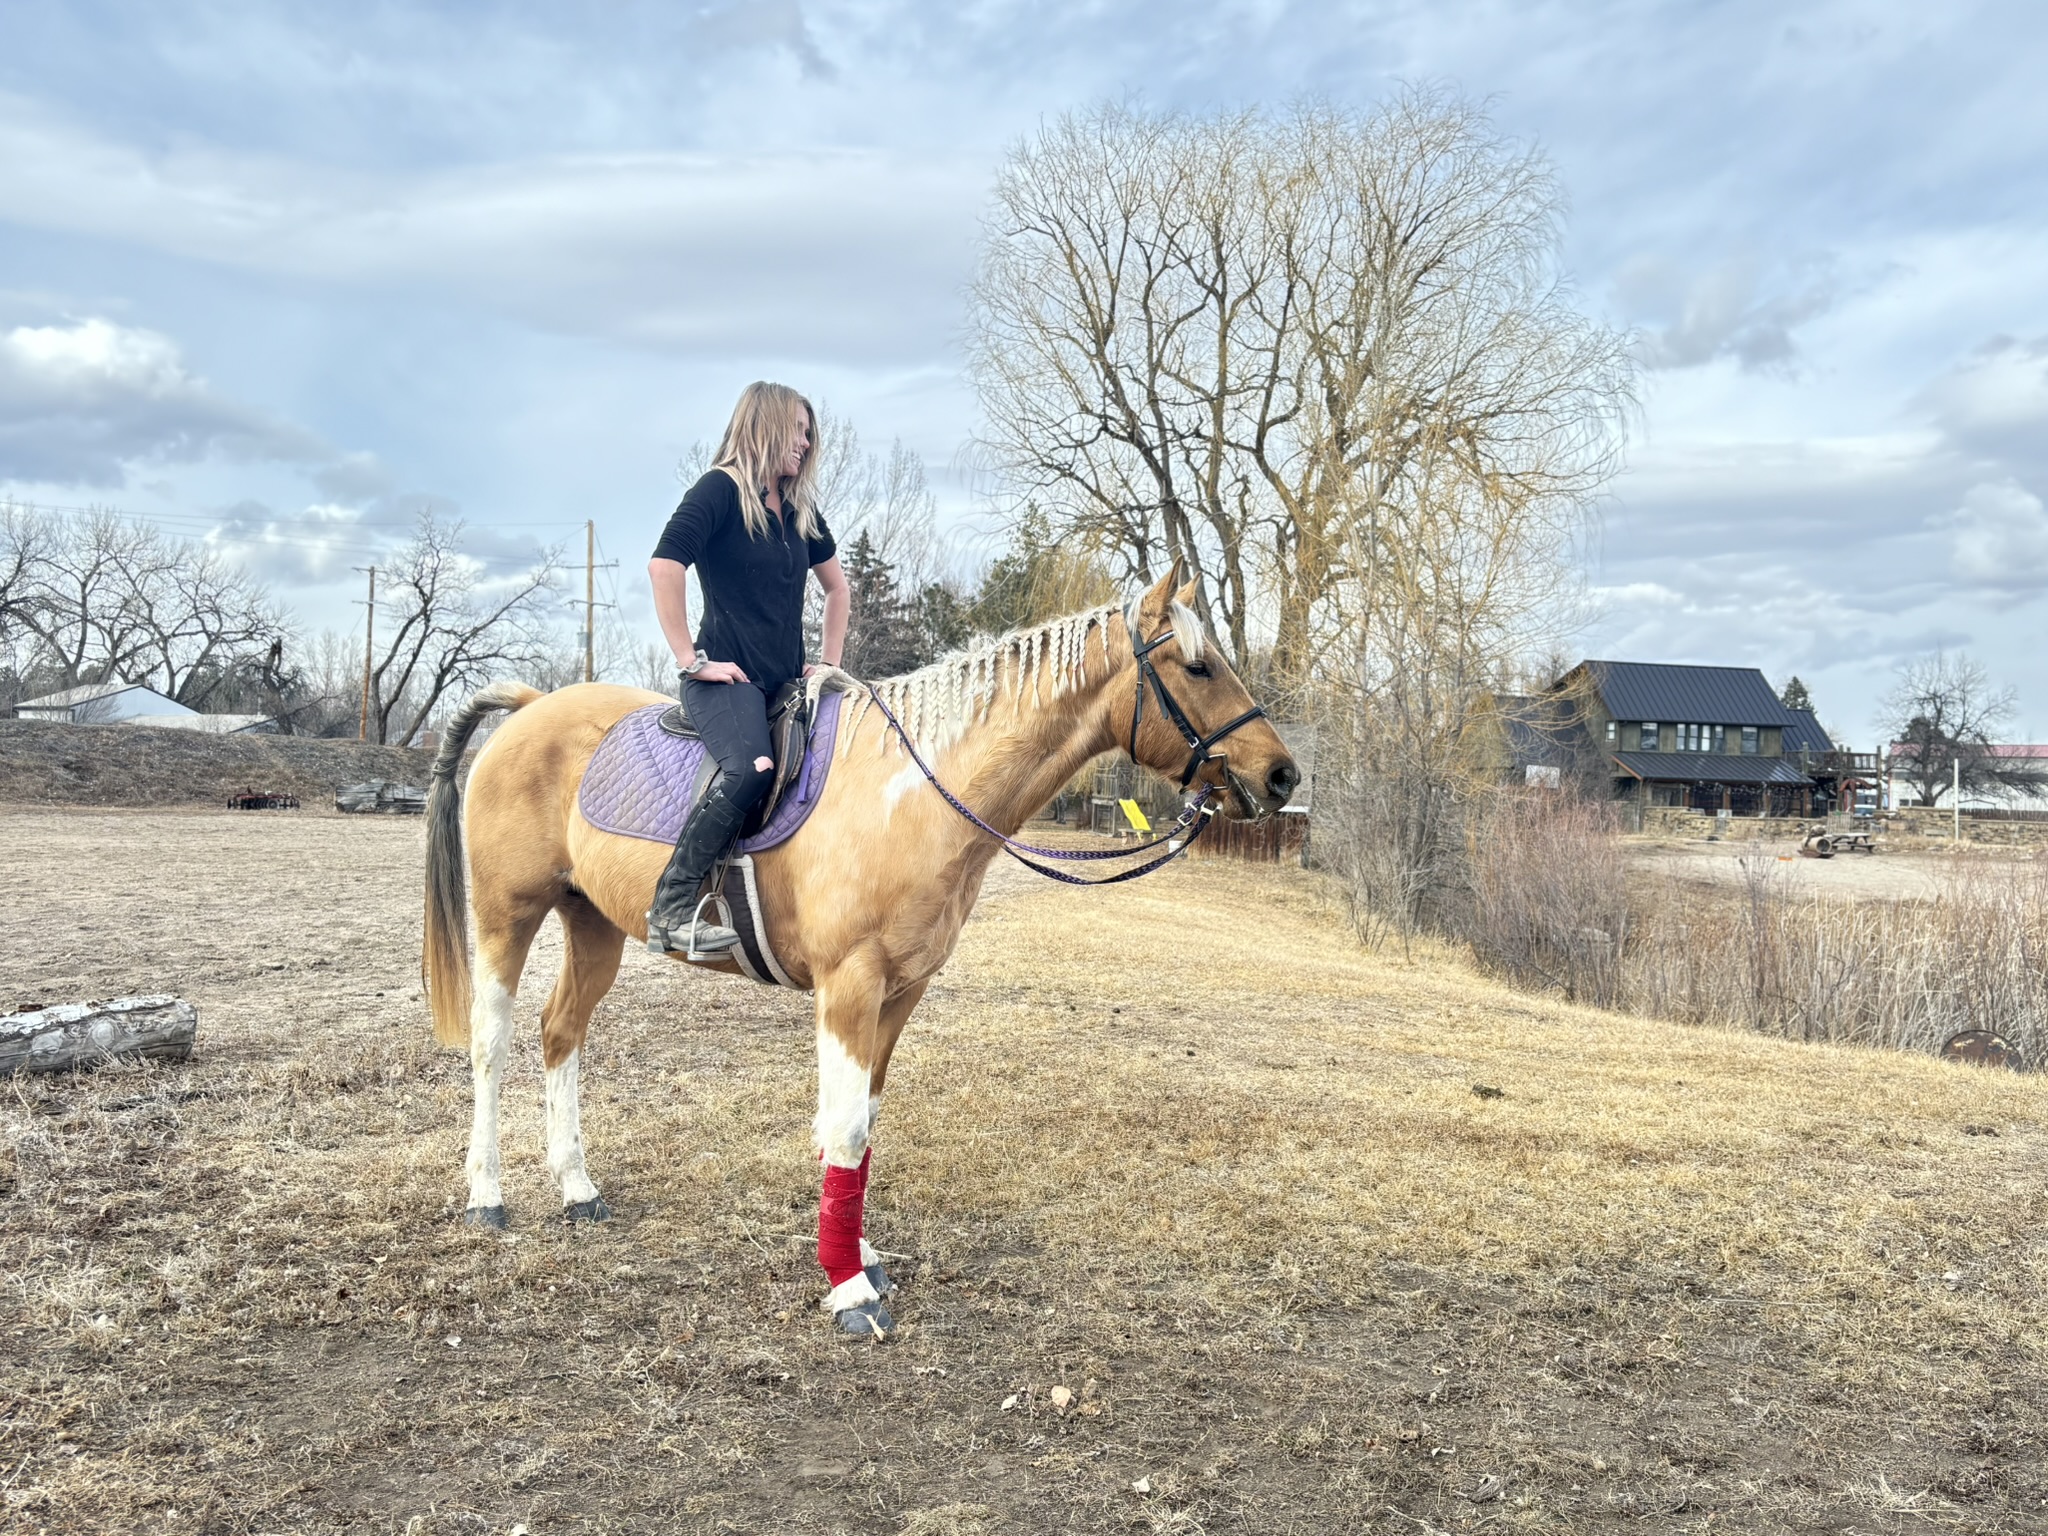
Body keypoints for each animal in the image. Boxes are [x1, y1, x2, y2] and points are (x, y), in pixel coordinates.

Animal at [420, 567, 1299, 1335]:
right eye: (1198, 665)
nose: (1282, 775)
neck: (910, 793)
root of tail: (531, 707)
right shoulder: (849, 986)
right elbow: (843, 1129)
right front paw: (847, 1288)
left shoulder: (901, 991)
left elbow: (865, 1127)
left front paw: (860, 1253)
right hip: (507, 914)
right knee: (493, 1043)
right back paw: (486, 1195)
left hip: (593, 922)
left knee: (560, 1032)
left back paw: (576, 1187)